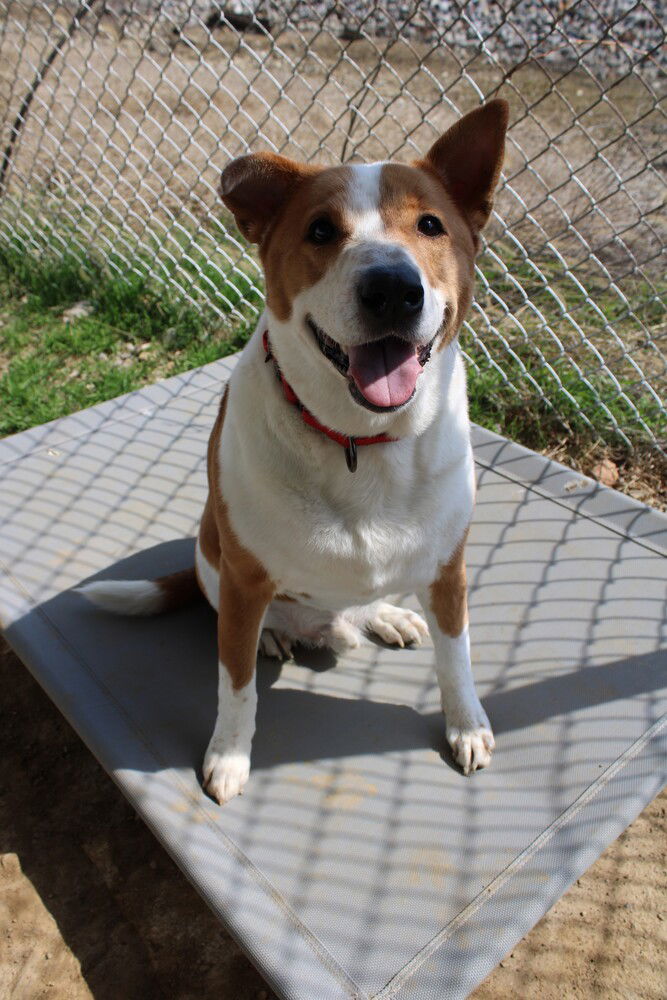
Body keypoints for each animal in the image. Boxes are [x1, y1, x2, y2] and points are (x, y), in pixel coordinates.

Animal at [81, 99, 512, 804]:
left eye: (430, 224)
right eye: (320, 230)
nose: (393, 288)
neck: (360, 439)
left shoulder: (450, 570)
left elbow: (458, 658)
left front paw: (466, 724)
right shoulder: (245, 581)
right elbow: (235, 688)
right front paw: (229, 756)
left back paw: (384, 616)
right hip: (218, 562)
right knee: (249, 629)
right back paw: (277, 638)